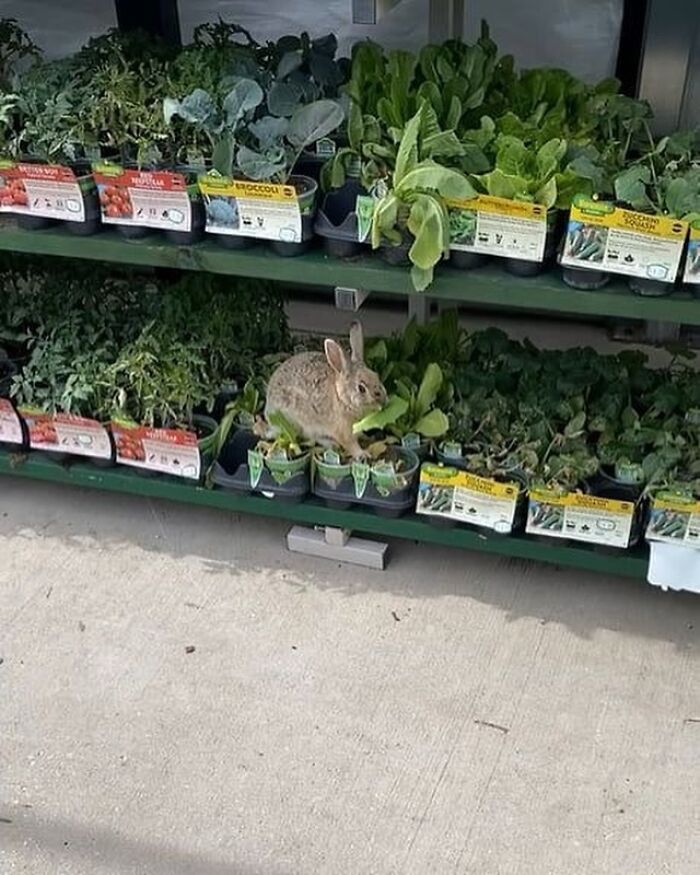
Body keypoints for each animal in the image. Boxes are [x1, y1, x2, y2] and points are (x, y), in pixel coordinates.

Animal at [266, 322, 392, 458]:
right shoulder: (343, 430)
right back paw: (331, 444)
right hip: (300, 423)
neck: (342, 399)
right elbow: (350, 443)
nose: (384, 400)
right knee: (309, 437)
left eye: (376, 375)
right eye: (361, 388)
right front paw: (362, 454)